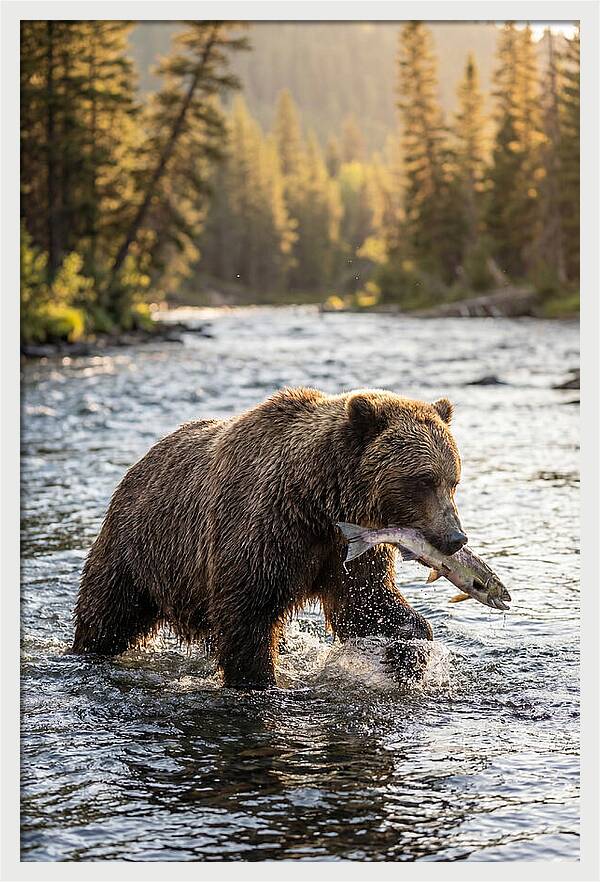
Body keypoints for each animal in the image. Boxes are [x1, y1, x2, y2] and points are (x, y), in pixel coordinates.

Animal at [72, 387, 467, 688]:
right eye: (423, 480)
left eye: (453, 480)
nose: (455, 538)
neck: (318, 502)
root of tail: (139, 463)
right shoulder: (264, 530)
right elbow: (247, 614)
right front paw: (258, 679)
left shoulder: (347, 547)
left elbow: (366, 601)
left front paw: (410, 650)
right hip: (139, 548)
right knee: (107, 613)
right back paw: (87, 650)